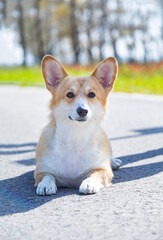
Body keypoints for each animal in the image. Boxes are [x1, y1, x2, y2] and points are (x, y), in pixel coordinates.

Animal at [34, 54, 121, 195]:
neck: (76, 136)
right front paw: (46, 184)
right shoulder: (41, 171)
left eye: (92, 94)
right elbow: (48, 175)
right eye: (69, 94)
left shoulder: (103, 170)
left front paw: (89, 183)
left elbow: (94, 174)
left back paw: (113, 161)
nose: (82, 110)